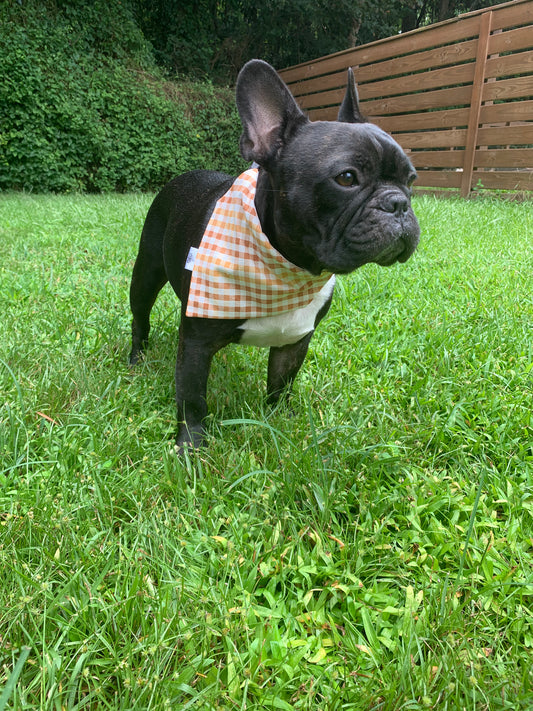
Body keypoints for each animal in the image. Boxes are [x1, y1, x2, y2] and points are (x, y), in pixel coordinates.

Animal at [129, 61, 420, 450]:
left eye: (411, 179)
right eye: (347, 178)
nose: (399, 203)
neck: (290, 268)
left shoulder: (295, 341)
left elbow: (281, 385)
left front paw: (281, 422)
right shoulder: (195, 344)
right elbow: (192, 398)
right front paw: (191, 447)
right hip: (146, 272)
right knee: (140, 317)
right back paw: (136, 359)